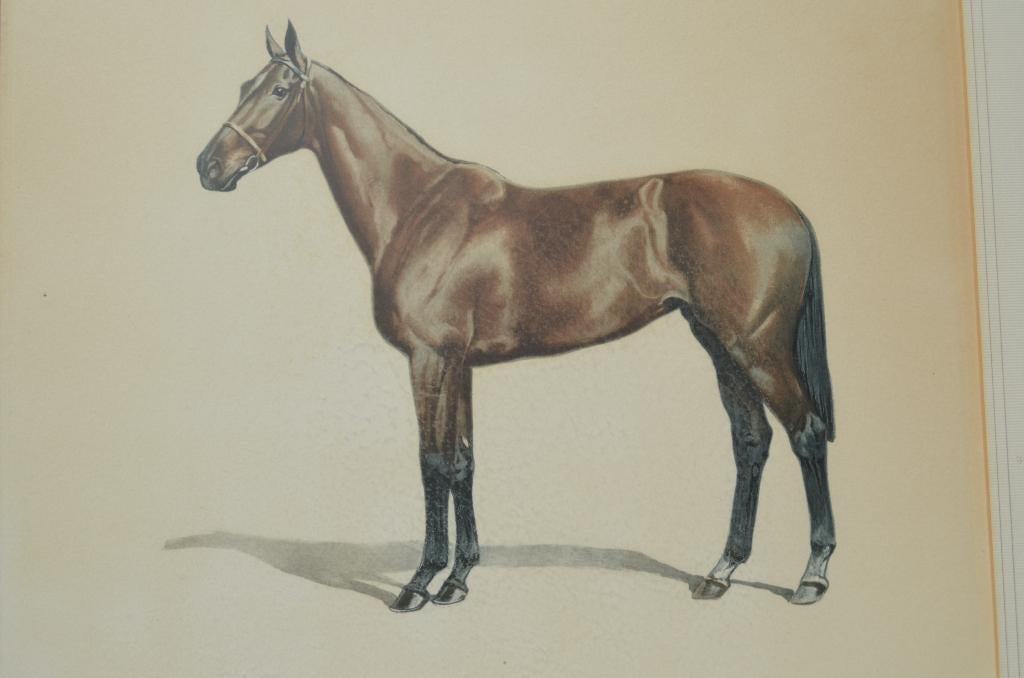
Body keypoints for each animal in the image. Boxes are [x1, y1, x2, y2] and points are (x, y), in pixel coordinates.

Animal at [196, 22, 837, 613]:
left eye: (280, 89)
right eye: (244, 86)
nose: (208, 165)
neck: (418, 206)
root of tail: (792, 209)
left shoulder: (429, 359)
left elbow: (432, 461)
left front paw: (419, 582)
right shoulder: (459, 364)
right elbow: (463, 462)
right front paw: (458, 579)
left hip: (756, 347)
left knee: (805, 432)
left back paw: (811, 576)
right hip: (718, 344)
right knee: (751, 442)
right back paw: (721, 571)